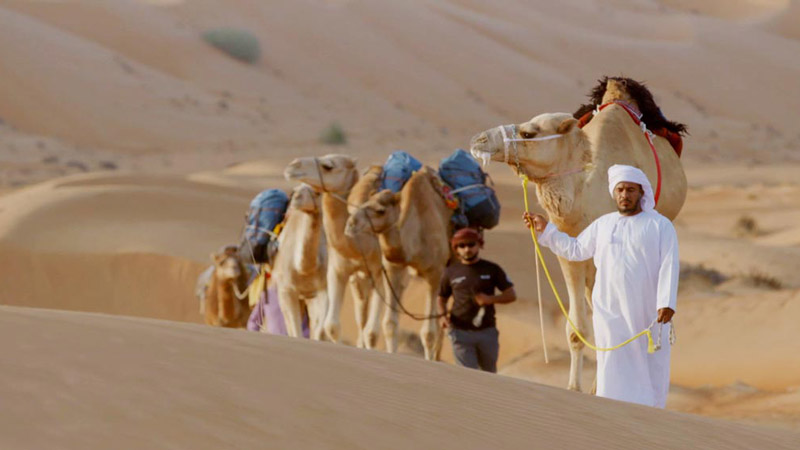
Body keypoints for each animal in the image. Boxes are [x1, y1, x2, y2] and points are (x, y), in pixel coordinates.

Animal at [282, 155, 410, 352]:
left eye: (328, 166)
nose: (292, 166)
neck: (359, 243)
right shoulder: (337, 272)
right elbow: (332, 326)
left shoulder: (380, 273)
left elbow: (372, 333)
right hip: (359, 282)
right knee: (362, 315)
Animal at [346, 167, 454, 360]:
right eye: (365, 203)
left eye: (380, 210)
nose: (350, 224)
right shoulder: (394, 269)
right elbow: (390, 323)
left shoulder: (434, 273)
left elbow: (429, 333)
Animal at [468, 80, 688, 390]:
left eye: (528, 133)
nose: (479, 140)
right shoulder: (572, 254)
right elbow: (578, 327)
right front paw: (575, 387)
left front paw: (597, 387)